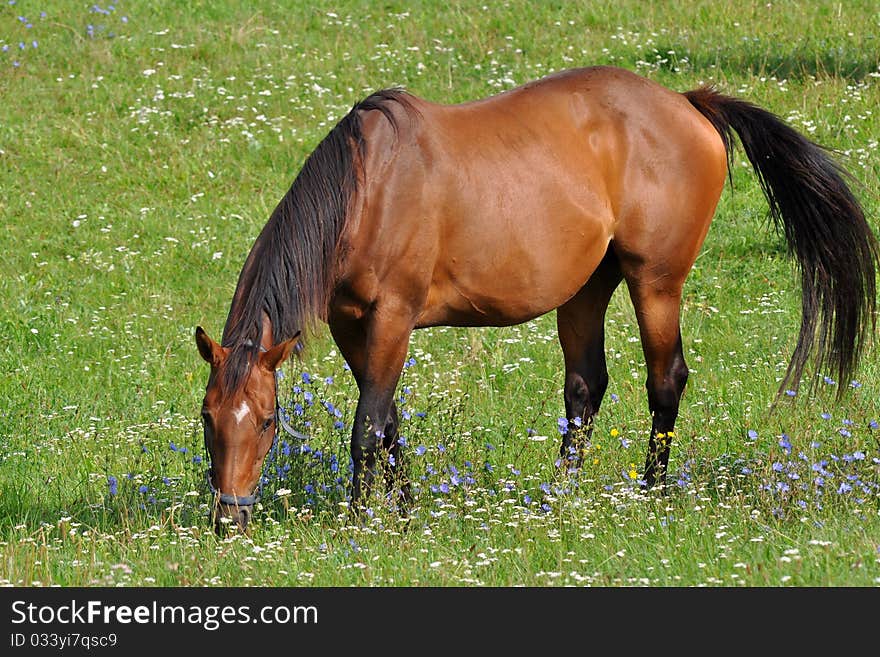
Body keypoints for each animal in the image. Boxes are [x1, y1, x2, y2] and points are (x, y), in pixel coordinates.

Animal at [196, 64, 876, 532]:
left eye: (268, 421)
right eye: (207, 419)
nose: (229, 518)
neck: (369, 189)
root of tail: (688, 104)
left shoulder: (394, 316)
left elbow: (367, 427)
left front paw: (362, 520)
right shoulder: (349, 323)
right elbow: (388, 423)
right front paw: (405, 511)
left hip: (655, 281)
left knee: (667, 380)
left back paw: (652, 494)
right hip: (587, 288)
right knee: (585, 388)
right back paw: (559, 499)